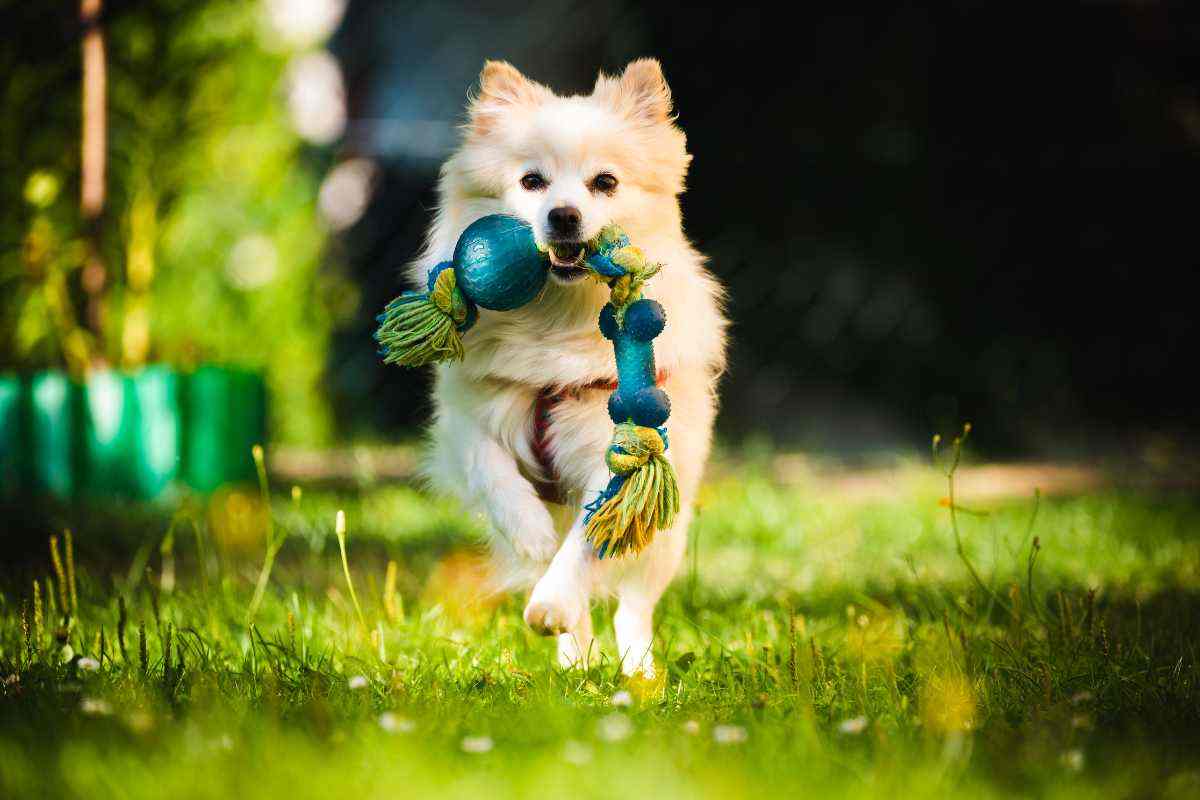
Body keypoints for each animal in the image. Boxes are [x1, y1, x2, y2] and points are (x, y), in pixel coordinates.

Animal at [412, 59, 724, 681]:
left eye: (604, 182)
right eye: (532, 181)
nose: (563, 215)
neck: (556, 319)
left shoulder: (623, 449)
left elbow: (587, 539)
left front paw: (553, 601)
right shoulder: (468, 417)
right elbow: (492, 470)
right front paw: (528, 534)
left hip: (666, 535)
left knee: (634, 604)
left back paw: (637, 672)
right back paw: (575, 661)